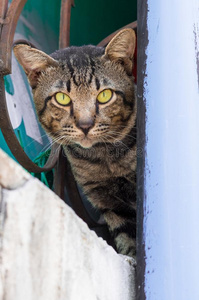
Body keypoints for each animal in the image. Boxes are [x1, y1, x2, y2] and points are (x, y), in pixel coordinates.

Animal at [13, 28, 137, 258]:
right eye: (62, 98)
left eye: (105, 95)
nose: (85, 124)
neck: (105, 160)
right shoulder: (108, 202)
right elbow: (127, 239)